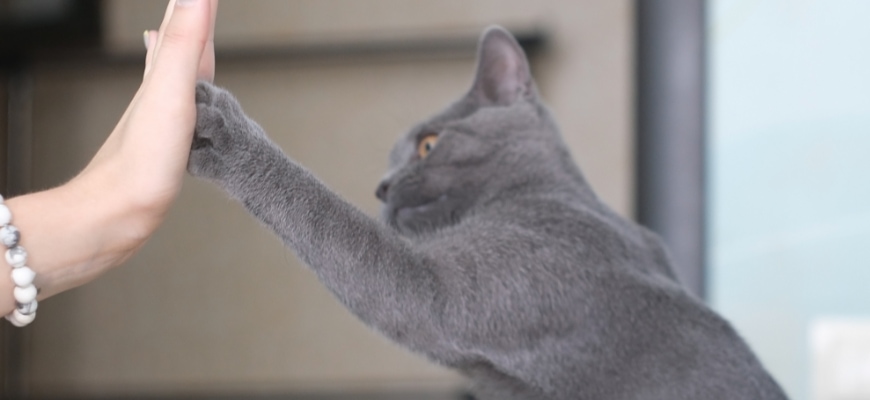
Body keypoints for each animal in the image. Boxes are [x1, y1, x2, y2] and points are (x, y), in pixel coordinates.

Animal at [189, 26, 792, 398]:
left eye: (428, 145)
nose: (381, 187)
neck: (540, 193)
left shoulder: (461, 287)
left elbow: (325, 216)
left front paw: (224, 134)